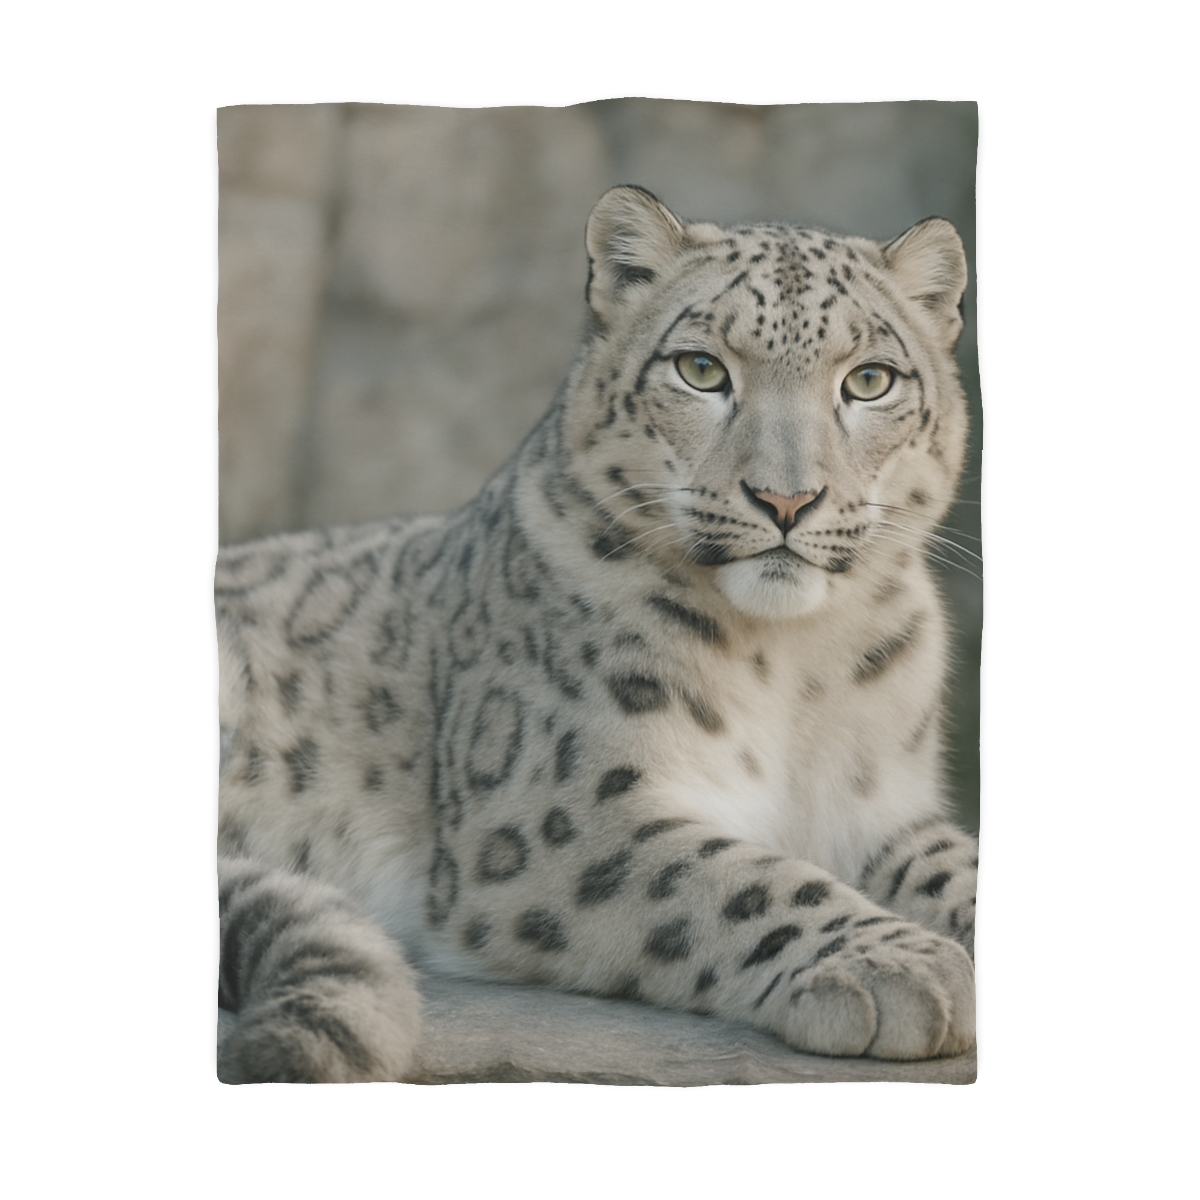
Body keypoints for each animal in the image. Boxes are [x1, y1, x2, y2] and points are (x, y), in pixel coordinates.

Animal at [216, 185, 978, 1083]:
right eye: (701, 369)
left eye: (869, 380)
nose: (786, 500)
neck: (796, 665)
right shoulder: (563, 811)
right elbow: (738, 880)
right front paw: (898, 966)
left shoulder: (882, 808)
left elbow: (961, 864)